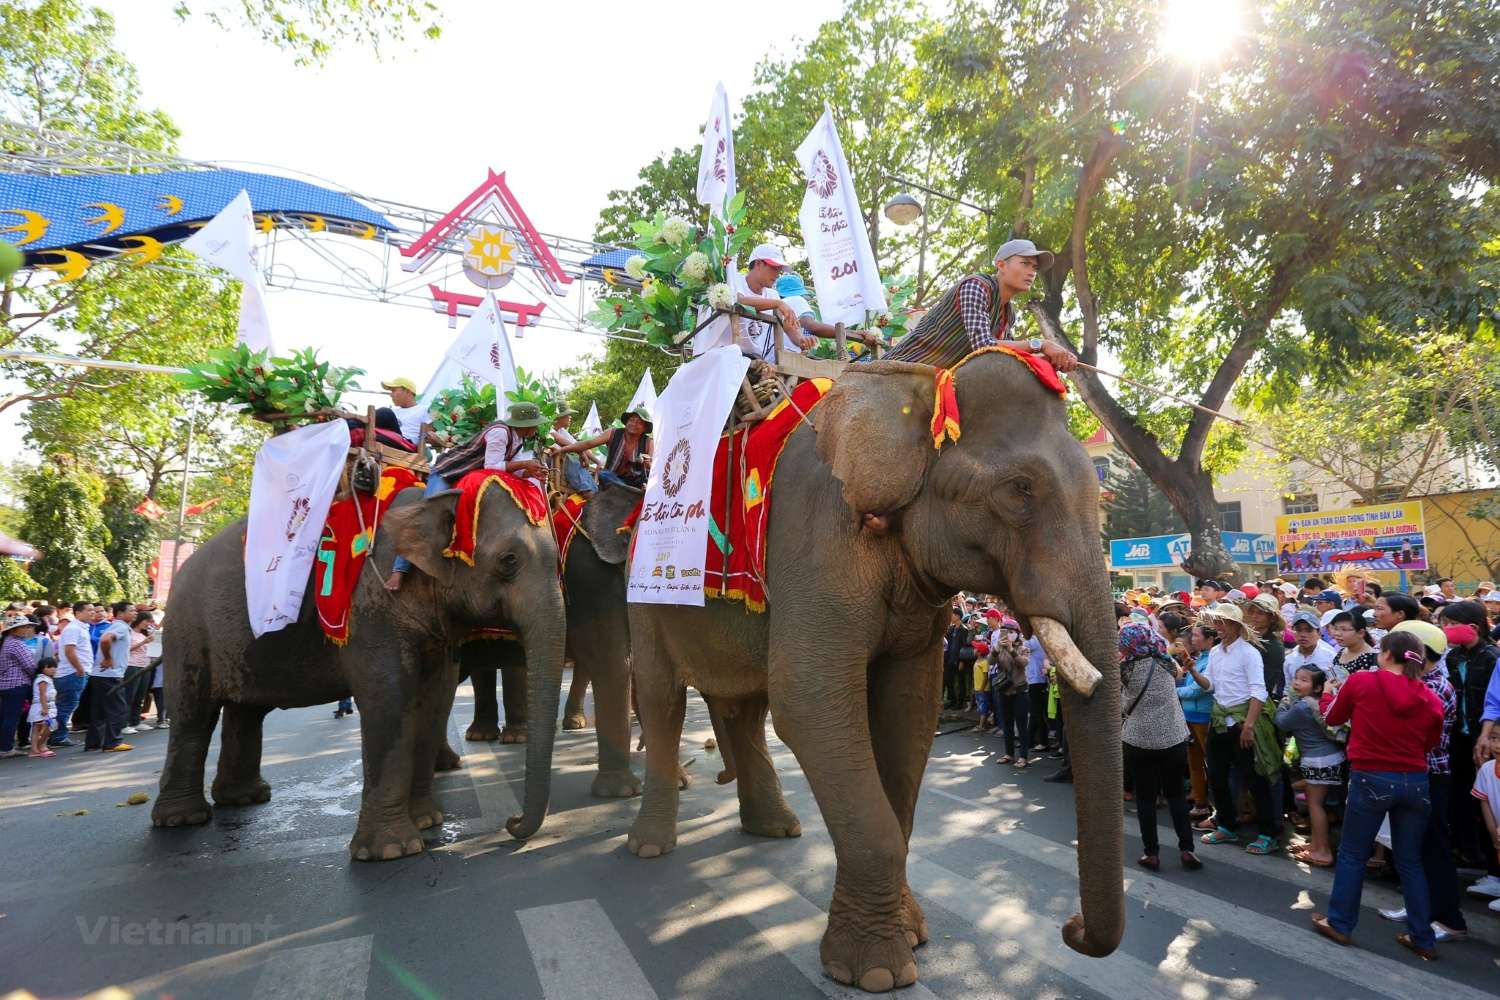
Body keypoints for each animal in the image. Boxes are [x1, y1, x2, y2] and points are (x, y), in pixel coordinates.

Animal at [152, 476, 564, 863]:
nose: (512, 822)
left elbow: (435, 699)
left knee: (245, 710)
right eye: (509, 560)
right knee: (193, 713)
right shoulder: (372, 607)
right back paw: (182, 818)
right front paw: (392, 850)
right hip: (187, 629)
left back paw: (244, 798)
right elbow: (389, 696)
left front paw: (427, 821)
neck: (433, 499)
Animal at [621, 352, 1128, 995]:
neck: (914, 389)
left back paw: (775, 829)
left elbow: (910, 710)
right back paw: (650, 847)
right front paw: (878, 971)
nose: (1071, 927)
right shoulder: (815, 535)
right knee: (660, 698)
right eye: (1020, 490)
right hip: (644, 598)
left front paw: (912, 936)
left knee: (745, 705)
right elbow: (809, 700)